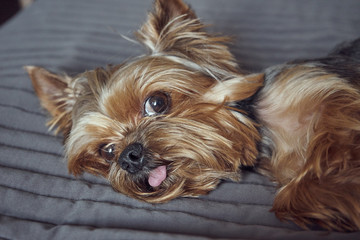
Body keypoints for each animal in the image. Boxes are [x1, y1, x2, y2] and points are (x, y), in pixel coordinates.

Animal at [25, 0, 360, 232]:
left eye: (157, 103)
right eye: (107, 151)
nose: (129, 156)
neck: (263, 129)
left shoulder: (329, 91)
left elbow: (335, 126)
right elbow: (293, 194)